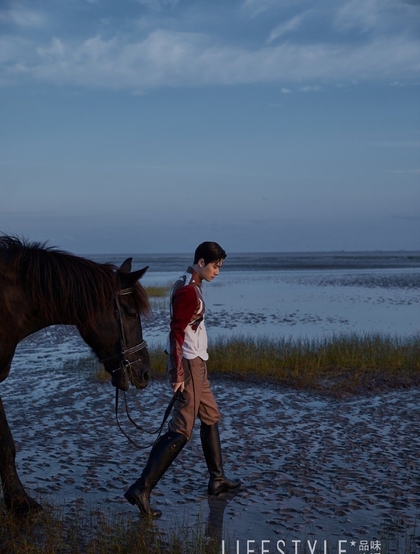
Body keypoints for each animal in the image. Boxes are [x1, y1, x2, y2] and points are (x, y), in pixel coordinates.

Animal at [0, 235, 151, 516]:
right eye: (131, 313)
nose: (145, 371)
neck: (6, 306)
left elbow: (6, 443)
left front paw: (19, 502)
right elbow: (6, 443)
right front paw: (22, 504)